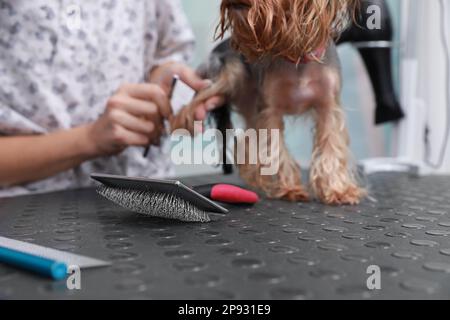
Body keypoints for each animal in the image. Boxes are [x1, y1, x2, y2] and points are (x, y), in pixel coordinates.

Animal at [171, 0, 364, 205]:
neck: (296, 55)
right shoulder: (270, 109)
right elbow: (276, 148)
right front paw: (290, 188)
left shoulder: (328, 106)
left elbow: (330, 145)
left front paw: (337, 190)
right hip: (227, 75)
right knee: (193, 102)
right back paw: (182, 120)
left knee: (247, 139)